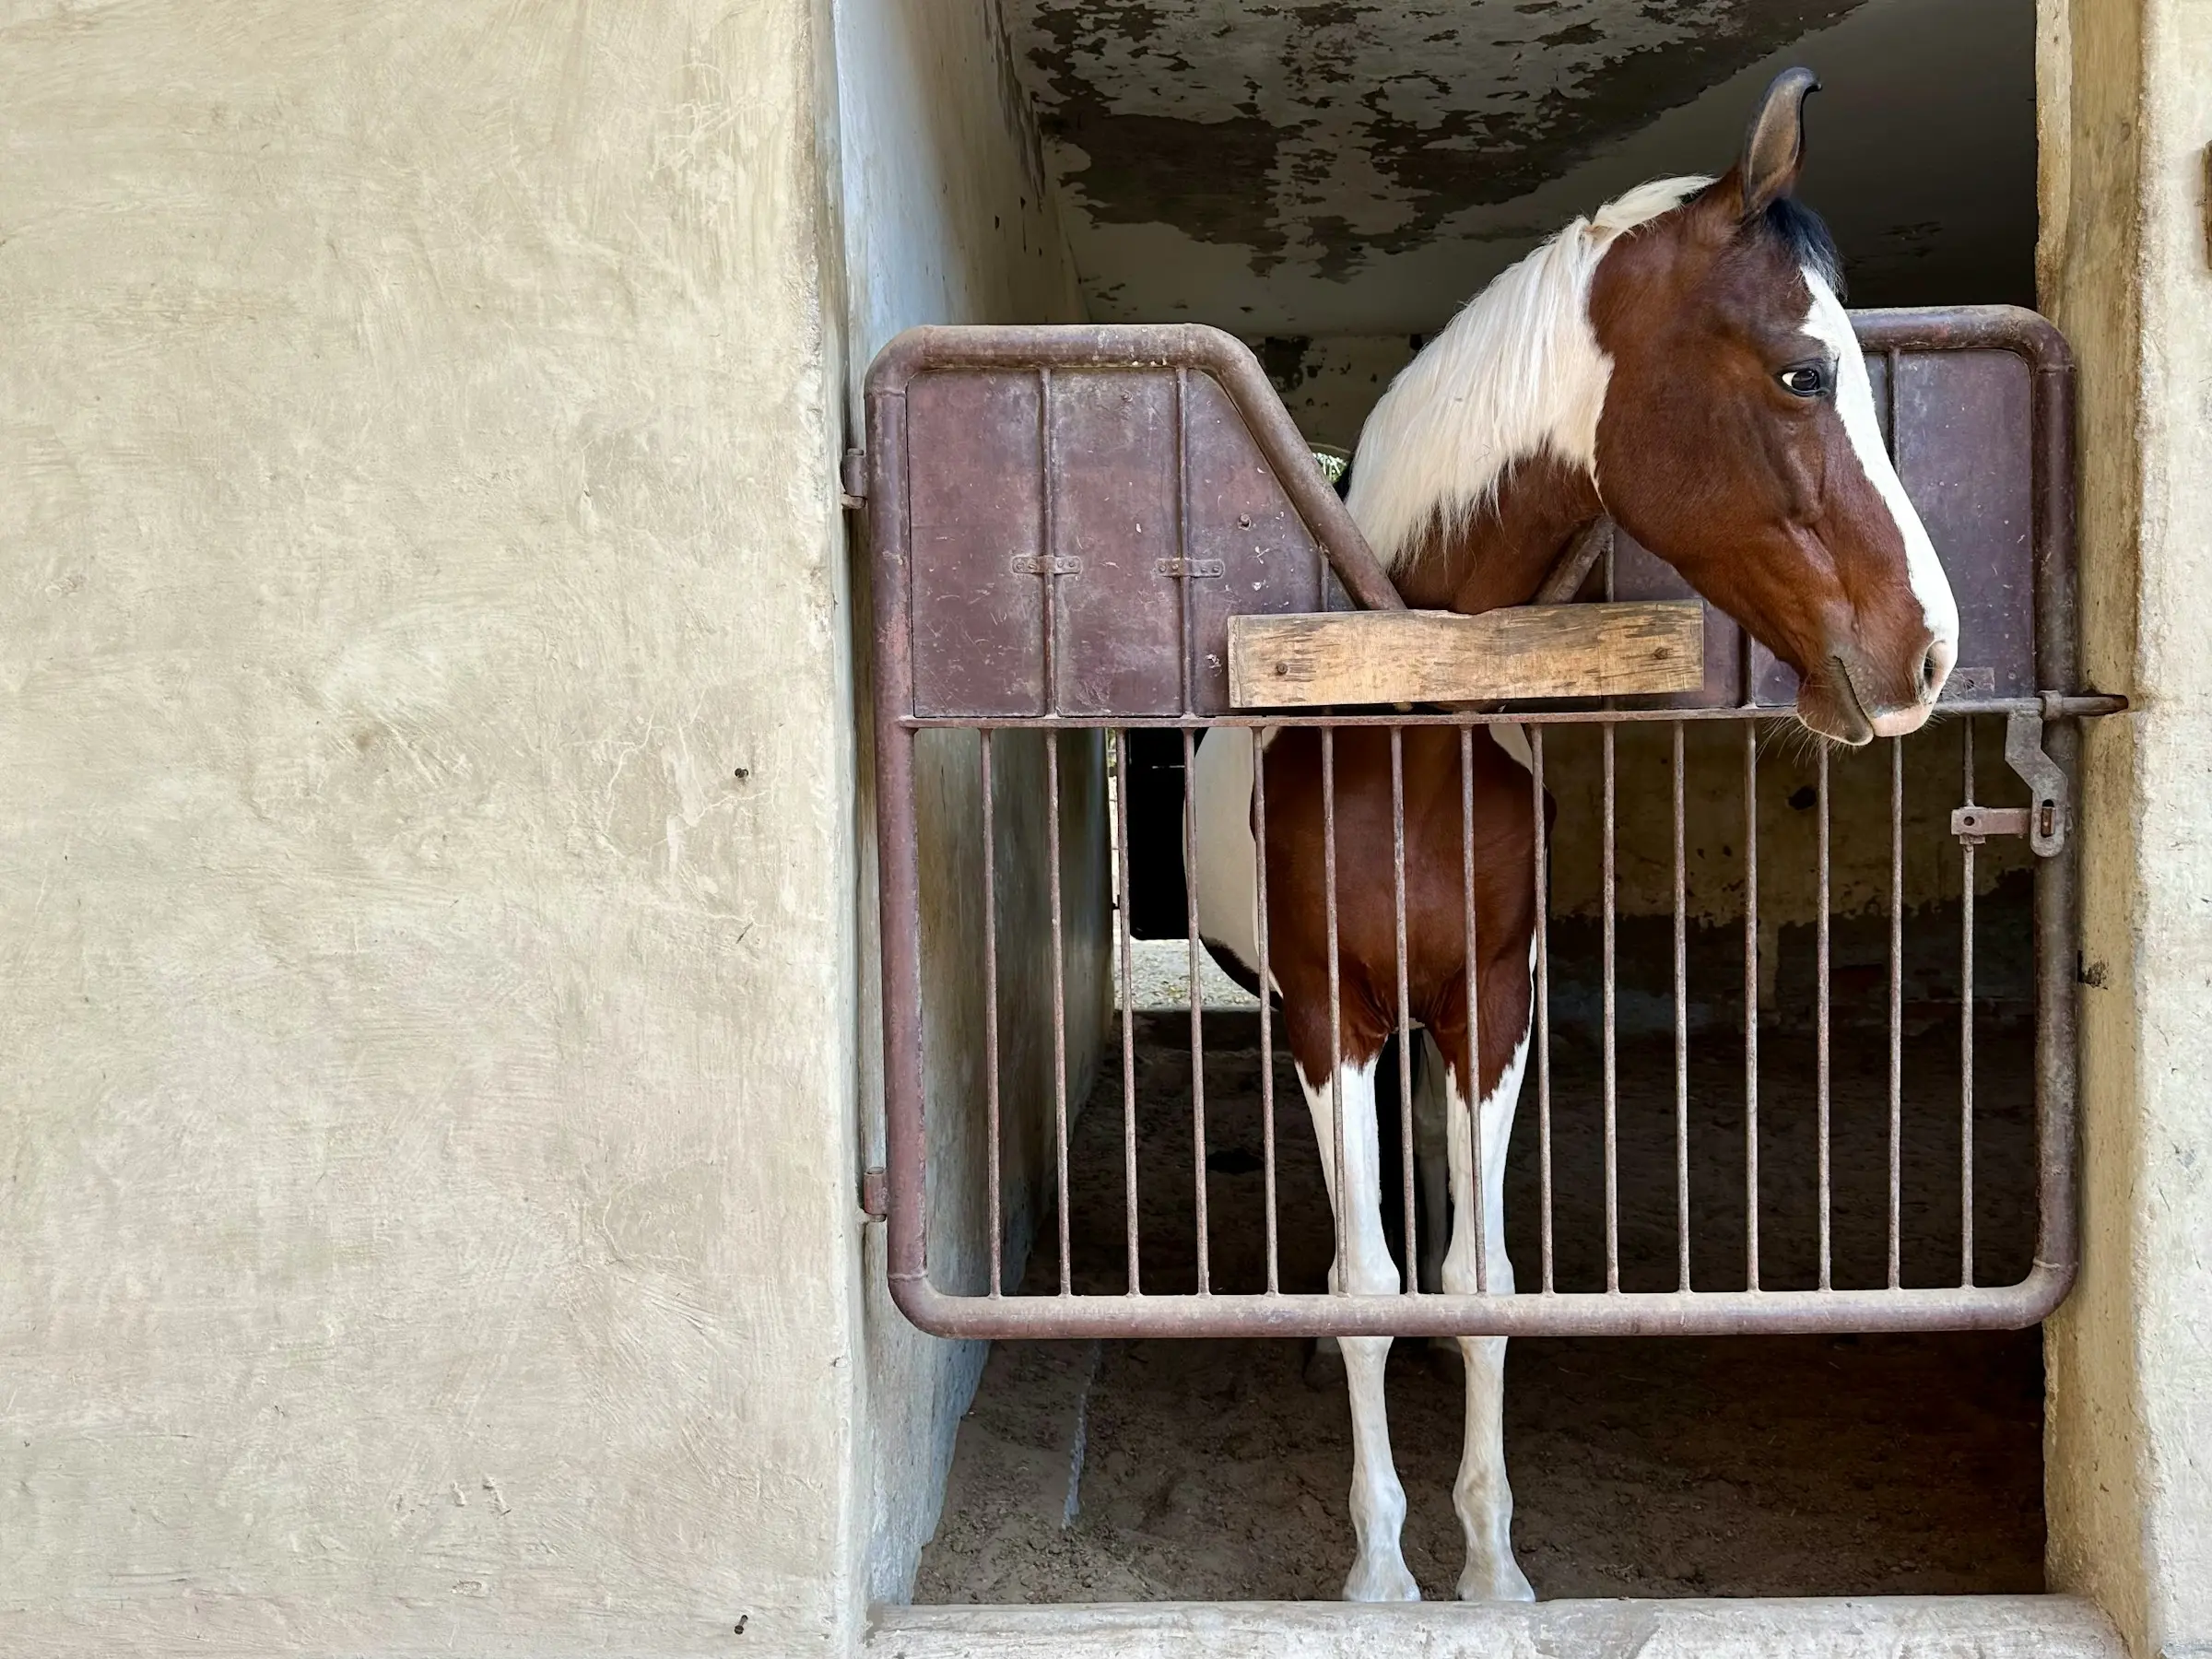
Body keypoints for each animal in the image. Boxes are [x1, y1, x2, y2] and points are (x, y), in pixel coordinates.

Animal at [1194, 71, 1955, 1601]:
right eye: (1804, 374)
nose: (1929, 652)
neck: (1398, 733)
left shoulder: (1493, 1003)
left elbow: (1484, 1283)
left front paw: (1492, 1570)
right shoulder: (1325, 1011)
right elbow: (1362, 1283)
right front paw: (1380, 1577)